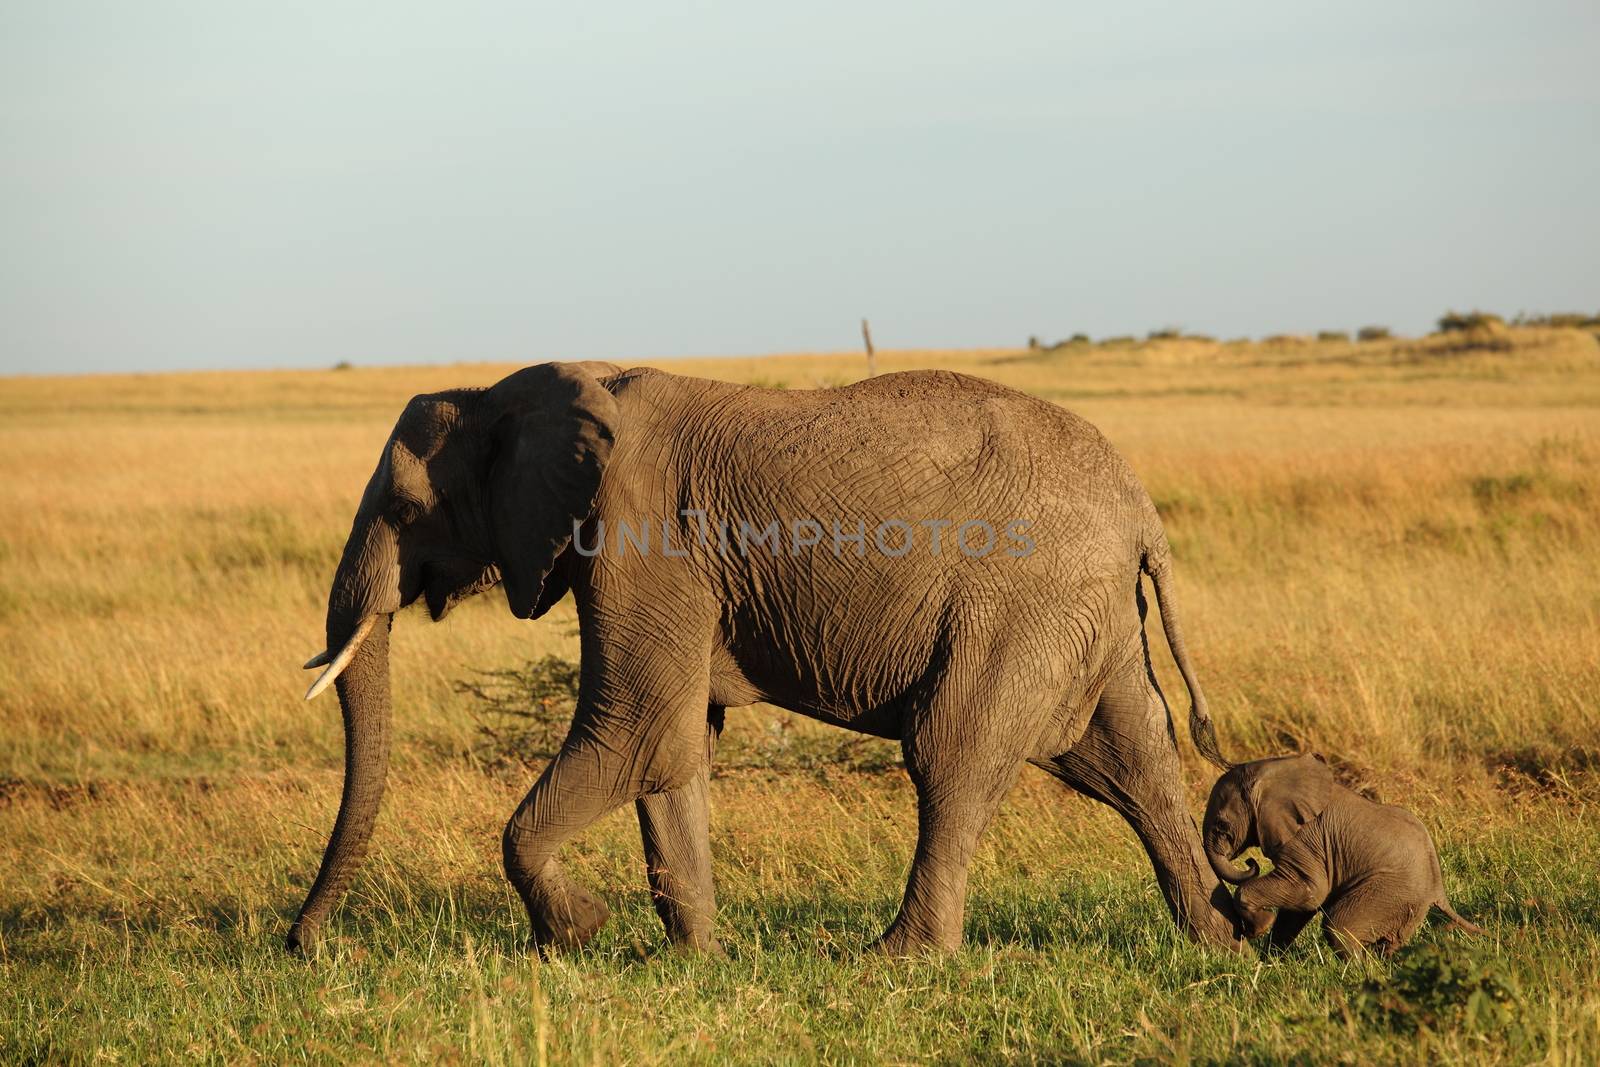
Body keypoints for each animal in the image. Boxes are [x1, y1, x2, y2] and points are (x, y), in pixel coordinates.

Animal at [284, 363, 1235, 953]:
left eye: (408, 509)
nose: (302, 945)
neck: (517, 392)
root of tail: (1141, 508)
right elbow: (674, 752)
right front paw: (698, 957)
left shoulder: (640, 541)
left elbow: (636, 732)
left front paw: (578, 932)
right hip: (1084, 611)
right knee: (1132, 757)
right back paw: (1222, 938)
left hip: (1022, 601)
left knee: (951, 754)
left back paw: (894, 957)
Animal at [1203, 755, 1478, 953]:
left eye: (1221, 826)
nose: (1250, 862)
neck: (1271, 769)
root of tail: (1438, 889)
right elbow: (1299, 906)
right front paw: (1269, 959)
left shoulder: (1304, 838)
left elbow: (1310, 891)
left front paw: (1259, 927)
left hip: (1390, 891)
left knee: (1339, 927)